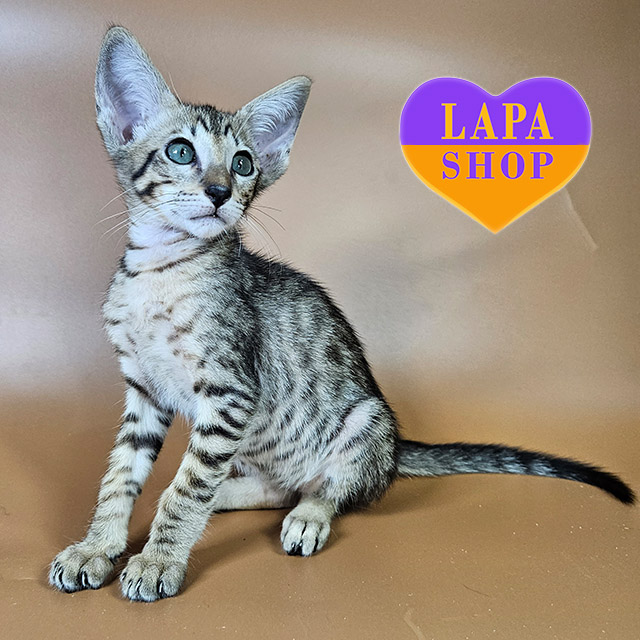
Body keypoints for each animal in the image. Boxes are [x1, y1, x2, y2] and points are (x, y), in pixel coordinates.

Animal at [49, 26, 634, 602]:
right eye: (179, 151)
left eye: (242, 163)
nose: (219, 192)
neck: (158, 269)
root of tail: (396, 450)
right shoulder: (144, 391)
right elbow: (120, 476)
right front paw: (97, 547)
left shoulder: (231, 392)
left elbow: (187, 488)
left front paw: (159, 560)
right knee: (272, 487)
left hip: (365, 420)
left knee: (327, 490)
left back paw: (307, 516)